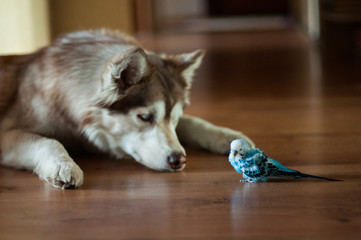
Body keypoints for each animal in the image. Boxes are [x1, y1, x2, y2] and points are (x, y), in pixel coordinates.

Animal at [0, 29, 253, 188]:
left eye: (174, 118)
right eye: (145, 117)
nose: (179, 160)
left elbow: (195, 122)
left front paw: (229, 138)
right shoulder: (6, 135)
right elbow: (48, 141)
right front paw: (63, 166)